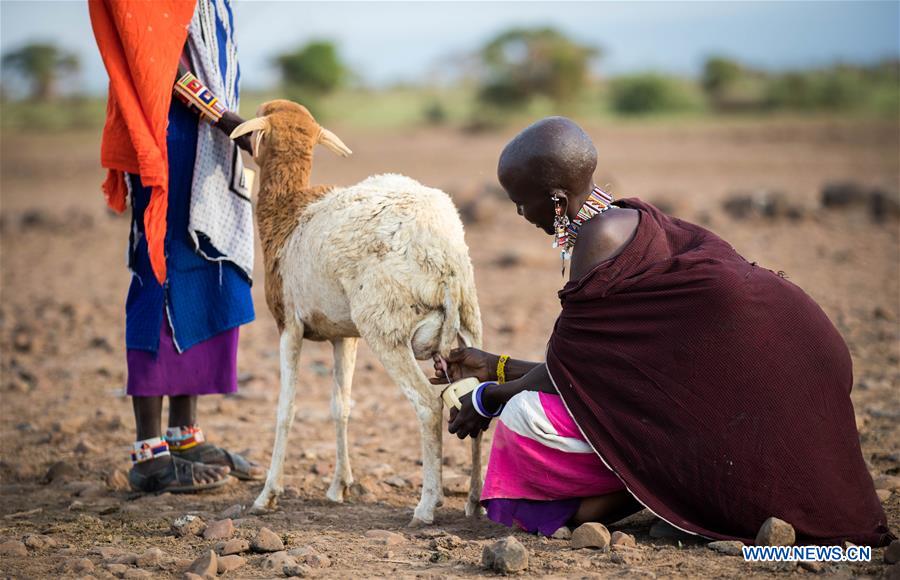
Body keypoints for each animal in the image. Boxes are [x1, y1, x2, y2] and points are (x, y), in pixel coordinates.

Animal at [232, 99, 486, 524]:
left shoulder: (289, 326)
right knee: (477, 401)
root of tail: (443, 259)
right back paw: (475, 502)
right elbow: (342, 407)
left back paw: (426, 506)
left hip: (386, 332)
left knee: (429, 406)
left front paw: (267, 495)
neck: (290, 212)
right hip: (468, 326)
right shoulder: (343, 336)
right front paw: (339, 487)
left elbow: (286, 409)